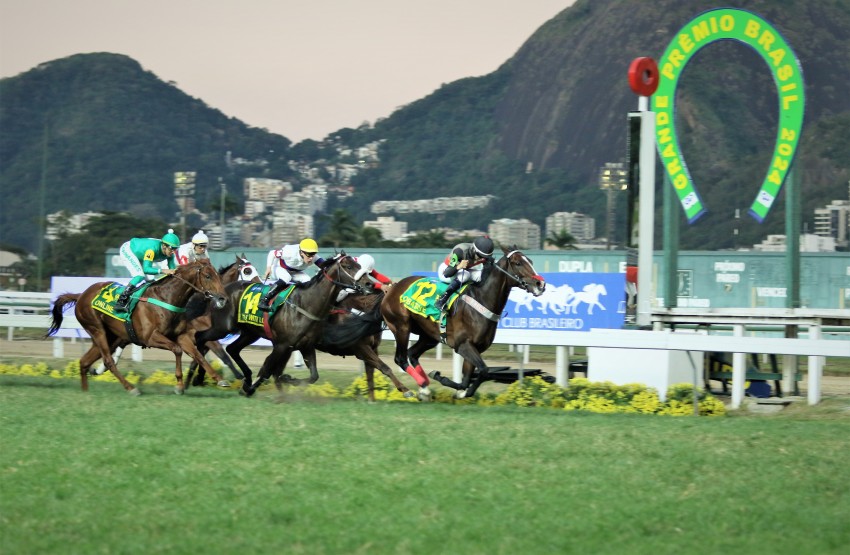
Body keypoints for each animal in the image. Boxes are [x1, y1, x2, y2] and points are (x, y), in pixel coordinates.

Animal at [45, 260, 225, 396]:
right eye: (208, 276)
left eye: (217, 275)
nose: (222, 298)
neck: (167, 298)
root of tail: (81, 295)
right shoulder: (150, 337)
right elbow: (177, 350)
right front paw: (179, 385)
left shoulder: (181, 336)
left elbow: (197, 355)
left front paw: (219, 379)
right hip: (97, 330)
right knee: (108, 361)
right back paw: (131, 388)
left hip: (110, 337)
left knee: (84, 361)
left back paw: (85, 391)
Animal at [192, 254, 362, 398]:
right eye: (348, 266)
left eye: (358, 265)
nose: (366, 282)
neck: (305, 304)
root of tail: (221, 292)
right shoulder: (281, 345)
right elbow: (269, 369)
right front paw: (255, 388)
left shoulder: (304, 345)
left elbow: (312, 376)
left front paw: (283, 382)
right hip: (223, 327)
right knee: (201, 338)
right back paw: (197, 377)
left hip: (250, 333)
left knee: (232, 348)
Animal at [382, 248, 548, 400]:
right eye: (518, 263)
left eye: (531, 262)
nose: (540, 284)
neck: (481, 300)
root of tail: (393, 287)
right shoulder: (463, 345)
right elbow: (484, 370)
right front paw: (441, 378)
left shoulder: (476, 348)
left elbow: (466, 381)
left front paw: (456, 388)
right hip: (401, 327)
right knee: (401, 358)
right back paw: (418, 385)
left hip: (429, 336)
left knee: (412, 353)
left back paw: (424, 388)